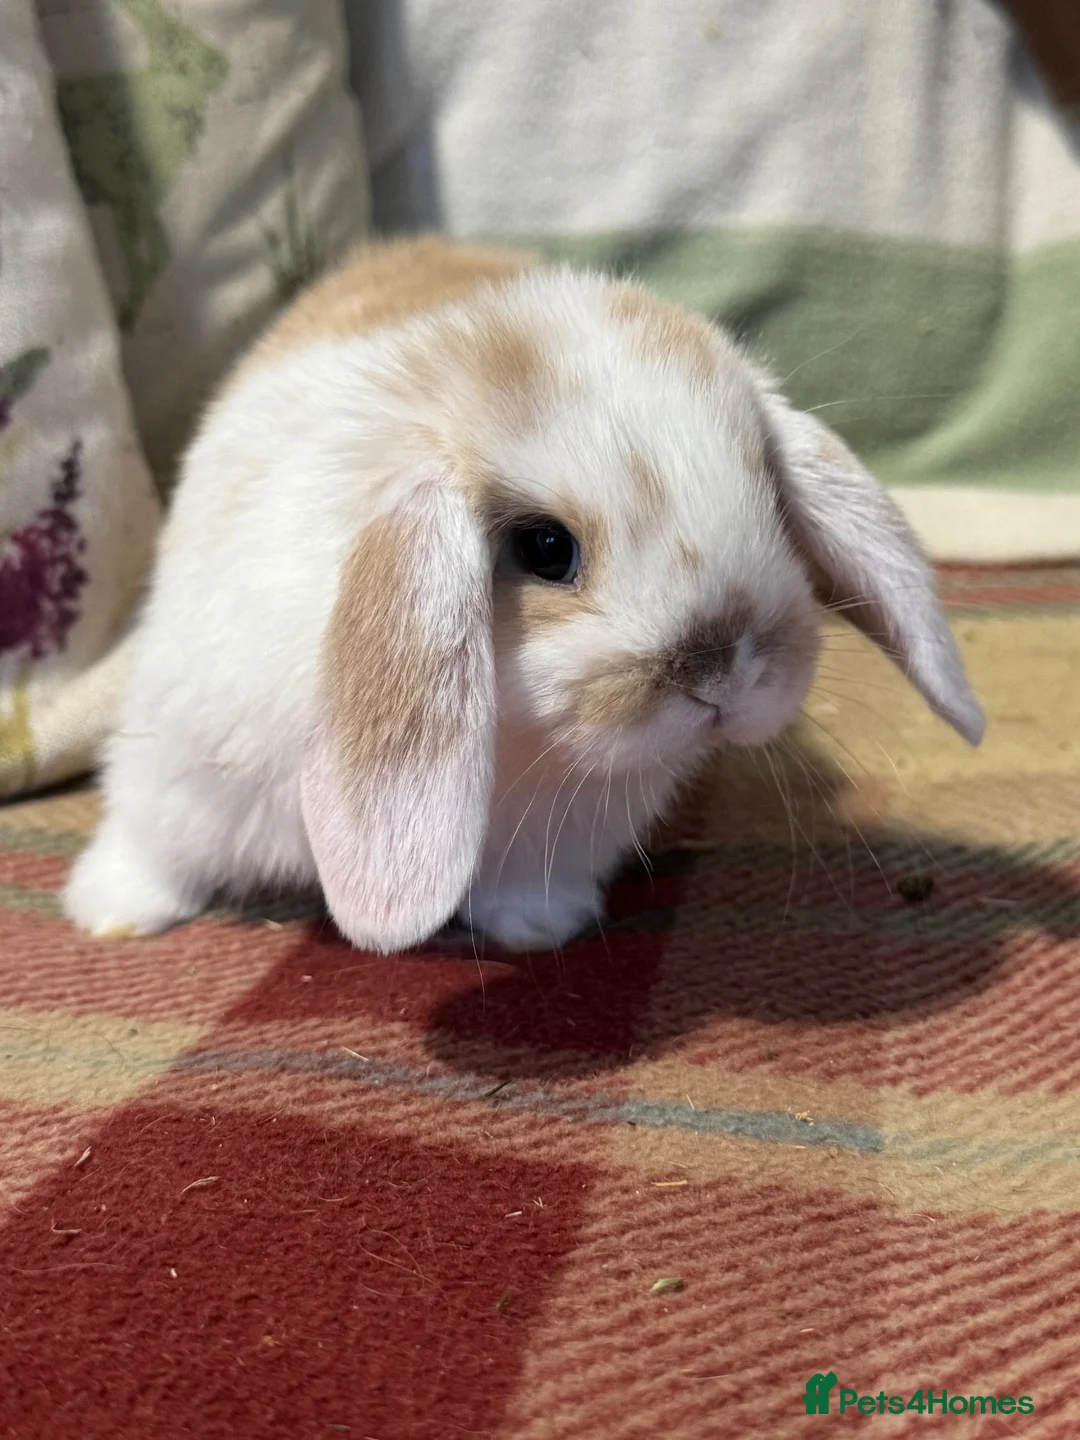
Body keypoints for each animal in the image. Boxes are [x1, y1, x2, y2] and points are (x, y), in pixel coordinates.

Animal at [63, 236, 984, 954]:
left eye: (769, 492)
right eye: (545, 548)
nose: (725, 675)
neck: (510, 744)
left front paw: (541, 928)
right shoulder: (181, 765)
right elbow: (153, 843)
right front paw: (109, 911)